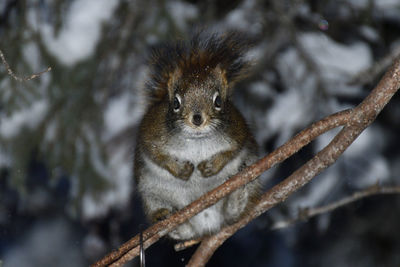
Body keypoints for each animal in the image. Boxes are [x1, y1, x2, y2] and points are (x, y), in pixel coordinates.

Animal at [133, 30, 260, 241]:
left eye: (218, 101)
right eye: (176, 103)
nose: (197, 119)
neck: (196, 141)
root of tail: (208, 225)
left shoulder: (236, 130)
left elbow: (233, 150)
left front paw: (212, 166)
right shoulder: (151, 133)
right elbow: (155, 155)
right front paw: (180, 169)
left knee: (233, 213)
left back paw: (238, 193)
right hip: (151, 195)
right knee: (182, 231)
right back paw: (166, 218)